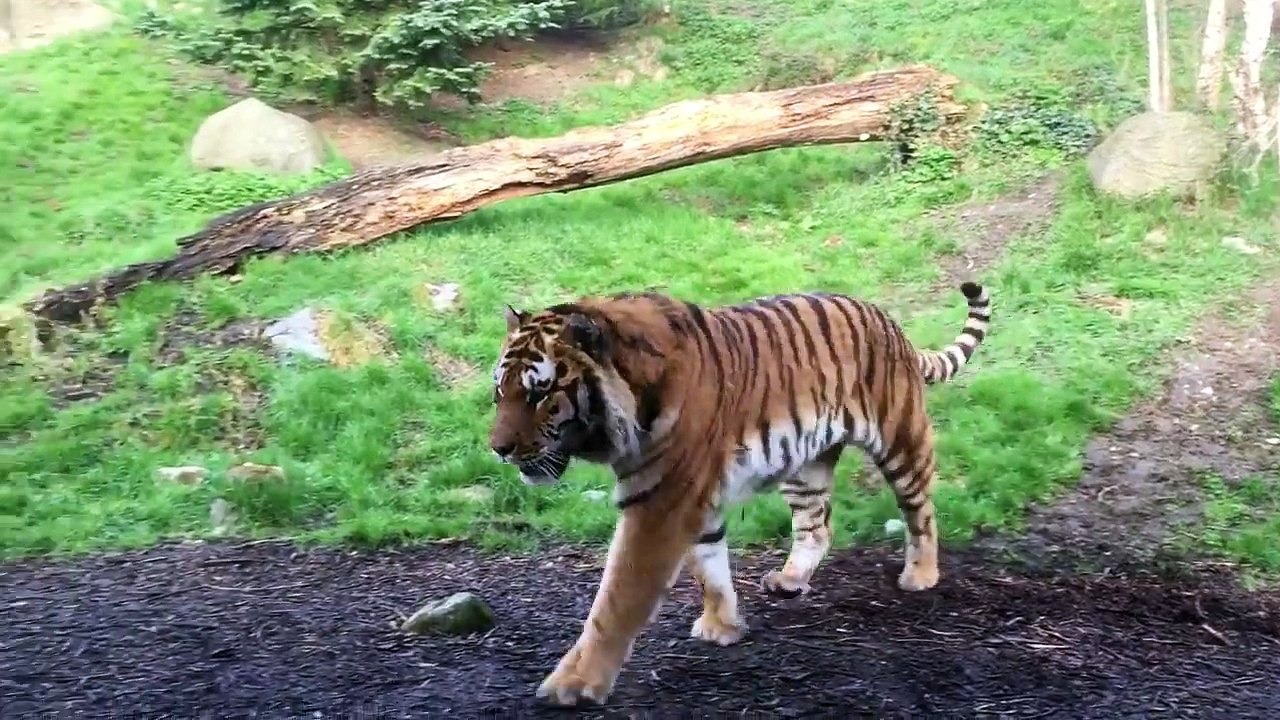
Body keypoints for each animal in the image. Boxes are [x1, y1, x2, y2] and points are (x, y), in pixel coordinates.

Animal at [488, 281, 991, 706]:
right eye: (500, 392)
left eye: (539, 393)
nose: (498, 449)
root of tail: (886, 319)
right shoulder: (693, 497)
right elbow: (709, 567)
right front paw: (722, 626)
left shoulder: (660, 501)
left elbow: (616, 601)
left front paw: (575, 683)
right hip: (805, 465)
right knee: (818, 527)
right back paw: (790, 578)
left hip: (900, 437)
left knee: (921, 508)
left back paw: (921, 574)